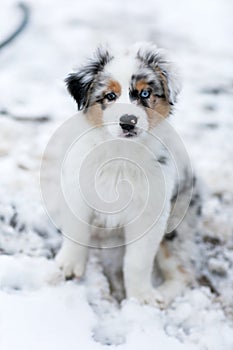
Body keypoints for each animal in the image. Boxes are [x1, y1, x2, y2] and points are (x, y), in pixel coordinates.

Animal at [55, 43, 201, 306]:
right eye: (110, 96)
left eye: (144, 94)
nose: (128, 122)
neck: (121, 155)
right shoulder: (77, 190)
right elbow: (76, 230)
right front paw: (69, 265)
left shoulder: (151, 213)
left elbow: (138, 261)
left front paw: (140, 298)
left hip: (175, 226)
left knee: (183, 272)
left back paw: (161, 295)